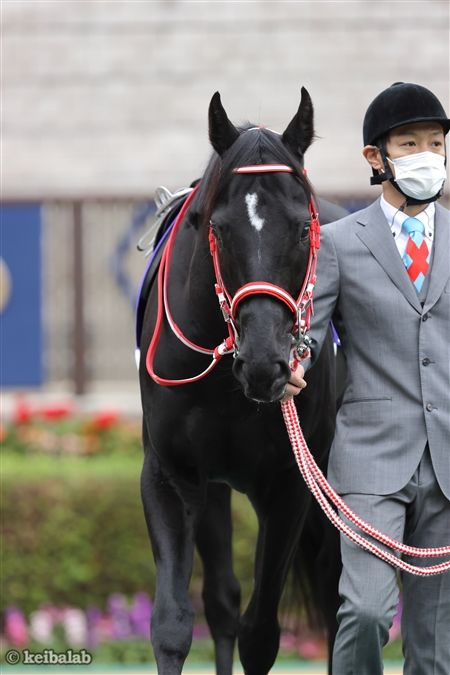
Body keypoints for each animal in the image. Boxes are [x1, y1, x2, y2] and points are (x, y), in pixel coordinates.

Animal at [138, 87, 342, 675]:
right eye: (219, 228)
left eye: (302, 228)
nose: (265, 363)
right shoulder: (173, 476)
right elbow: (174, 625)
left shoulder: (291, 485)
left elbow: (261, 634)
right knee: (222, 601)